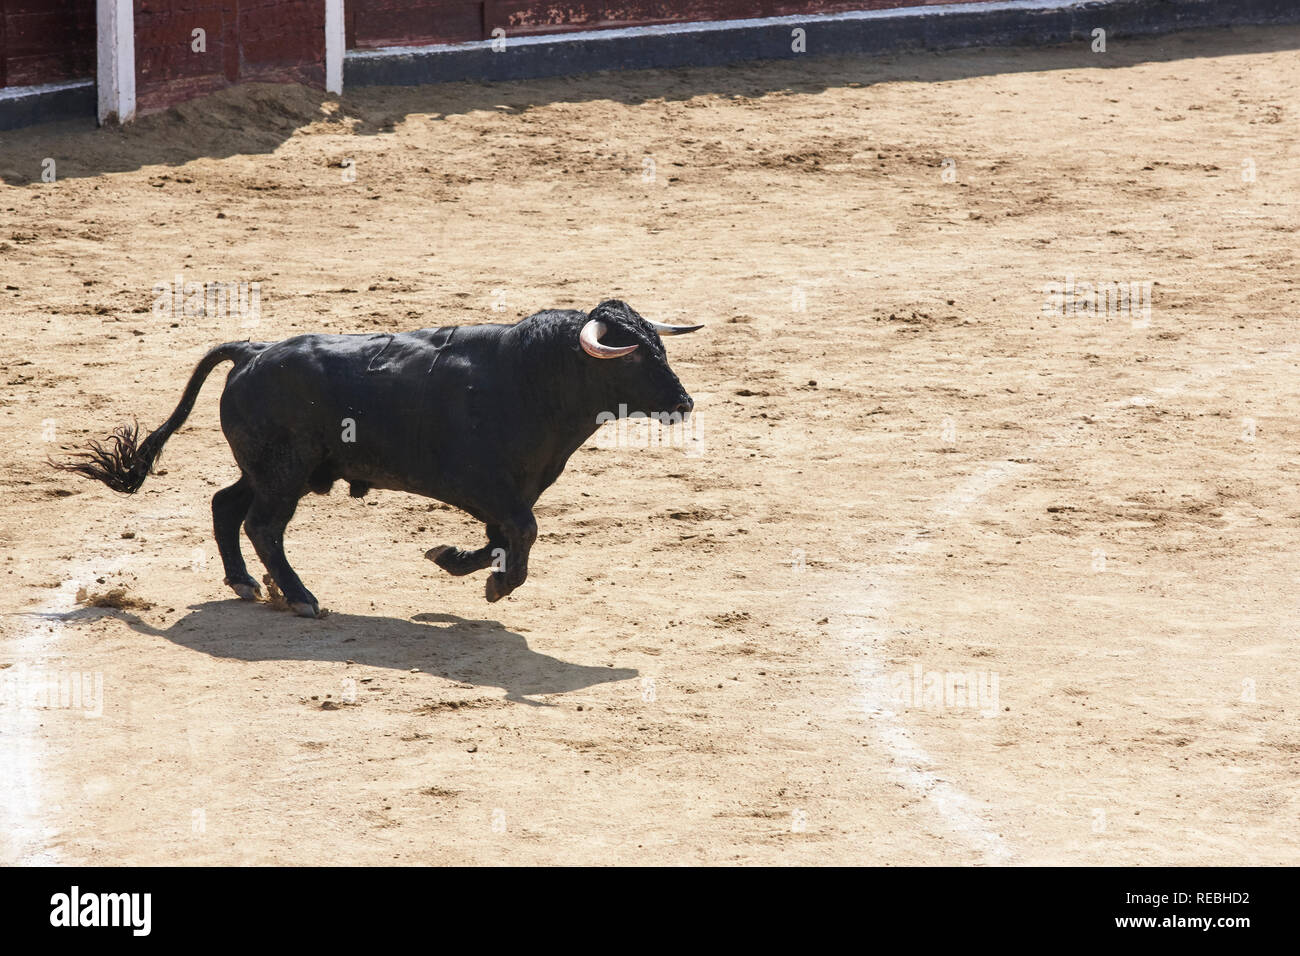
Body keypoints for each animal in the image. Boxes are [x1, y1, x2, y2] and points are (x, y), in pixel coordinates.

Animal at [55, 300, 701, 617]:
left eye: (661, 346)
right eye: (632, 355)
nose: (684, 401)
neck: (532, 380)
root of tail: (252, 350)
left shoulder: (511, 491)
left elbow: (502, 538)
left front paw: (451, 559)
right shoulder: (486, 488)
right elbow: (522, 533)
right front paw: (496, 586)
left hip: (273, 470)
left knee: (225, 505)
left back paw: (245, 583)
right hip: (284, 473)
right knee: (262, 525)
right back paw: (300, 597)